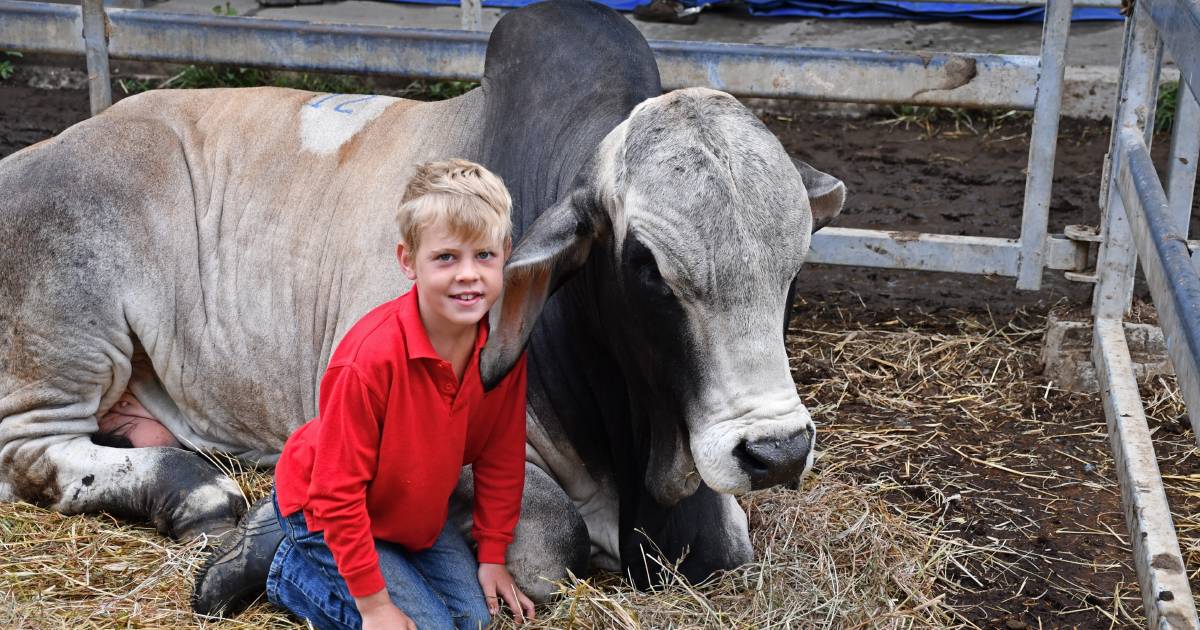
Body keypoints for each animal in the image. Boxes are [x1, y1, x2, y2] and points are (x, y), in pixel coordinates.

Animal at [0, 0, 844, 600]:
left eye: (794, 265)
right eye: (648, 269)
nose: (776, 452)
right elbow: (549, 535)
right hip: (69, 334)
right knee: (34, 455)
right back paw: (196, 492)